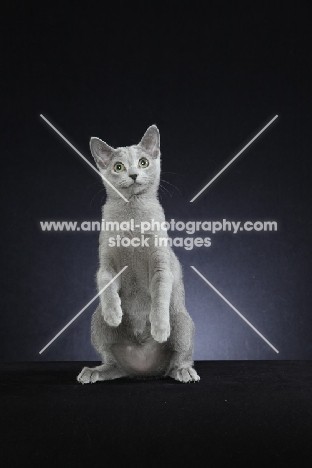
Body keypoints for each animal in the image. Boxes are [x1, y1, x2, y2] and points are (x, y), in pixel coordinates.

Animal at [78, 125, 200, 384]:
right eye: (118, 167)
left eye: (143, 162)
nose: (134, 174)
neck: (132, 217)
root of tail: (143, 369)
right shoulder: (106, 264)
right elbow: (105, 281)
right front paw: (114, 313)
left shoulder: (161, 265)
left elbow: (161, 292)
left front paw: (160, 327)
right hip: (97, 324)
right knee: (113, 363)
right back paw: (94, 371)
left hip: (182, 321)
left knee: (179, 358)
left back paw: (183, 371)